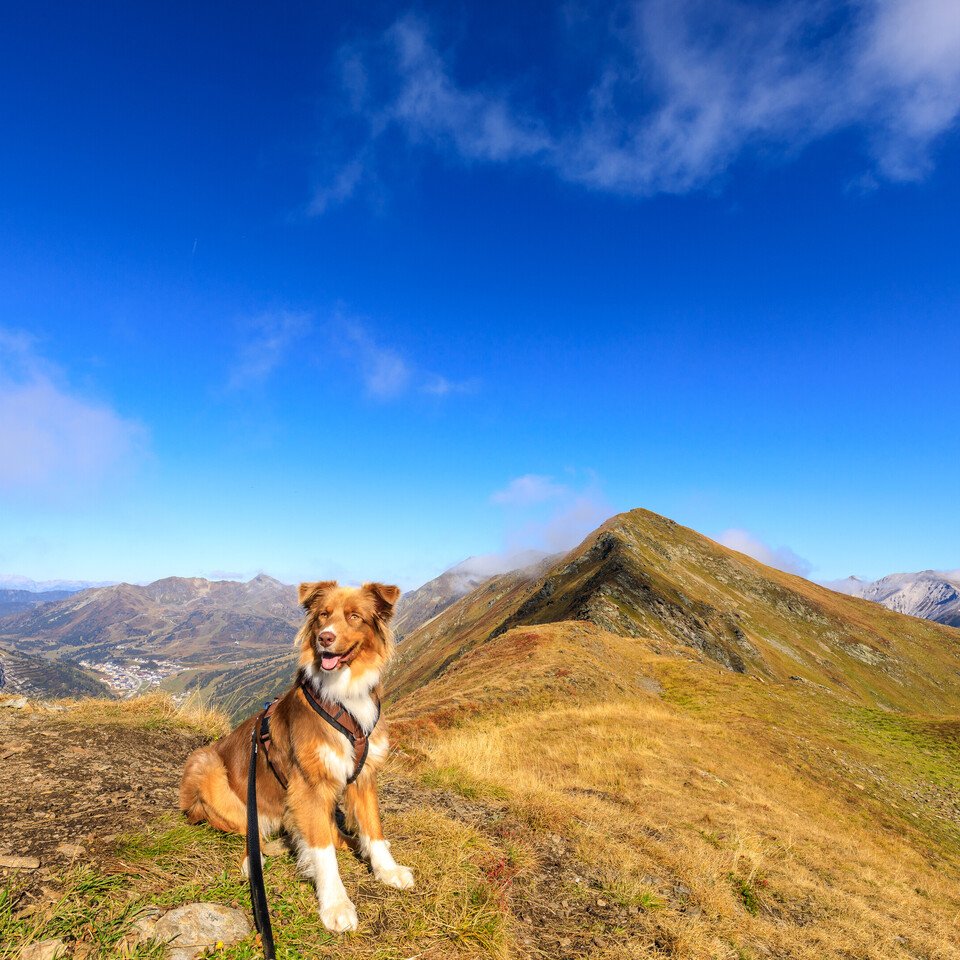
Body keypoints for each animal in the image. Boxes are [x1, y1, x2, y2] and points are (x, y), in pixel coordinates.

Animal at [180, 580, 412, 932]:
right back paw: (256, 859)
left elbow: (372, 826)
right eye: (323, 615)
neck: (342, 696)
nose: (324, 638)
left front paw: (387, 868)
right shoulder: (309, 785)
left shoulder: (364, 775)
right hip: (207, 765)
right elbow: (322, 850)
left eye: (354, 617)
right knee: (250, 832)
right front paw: (335, 904)